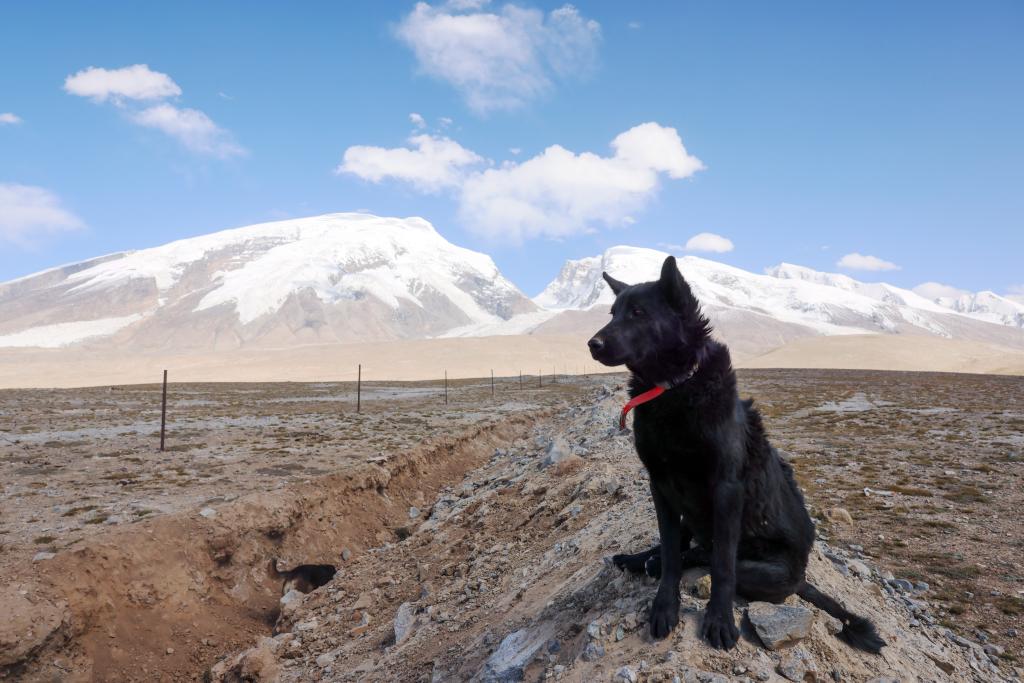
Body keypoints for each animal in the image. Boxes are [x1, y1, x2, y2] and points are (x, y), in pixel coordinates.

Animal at [589, 254, 884, 651]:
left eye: (638, 312)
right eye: (612, 313)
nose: (592, 343)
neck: (674, 389)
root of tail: (803, 578)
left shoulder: (726, 489)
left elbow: (722, 566)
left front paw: (719, 620)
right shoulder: (659, 483)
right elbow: (669, 548)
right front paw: (664, 605)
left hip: (764, 570)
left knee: (709, 555)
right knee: (680, 546)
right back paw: (640, 560)